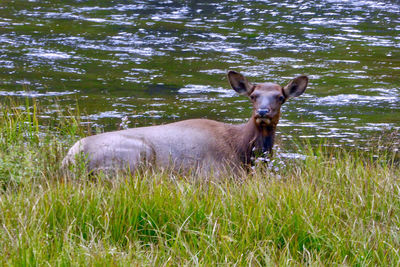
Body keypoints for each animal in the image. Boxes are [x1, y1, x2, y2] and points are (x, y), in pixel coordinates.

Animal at [62, 71, 308, 176]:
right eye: (253, 96)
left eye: (280, 97)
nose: (263, 112)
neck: (243, 151)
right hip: (134, 156)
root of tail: (70, 159)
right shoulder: (216, 173)